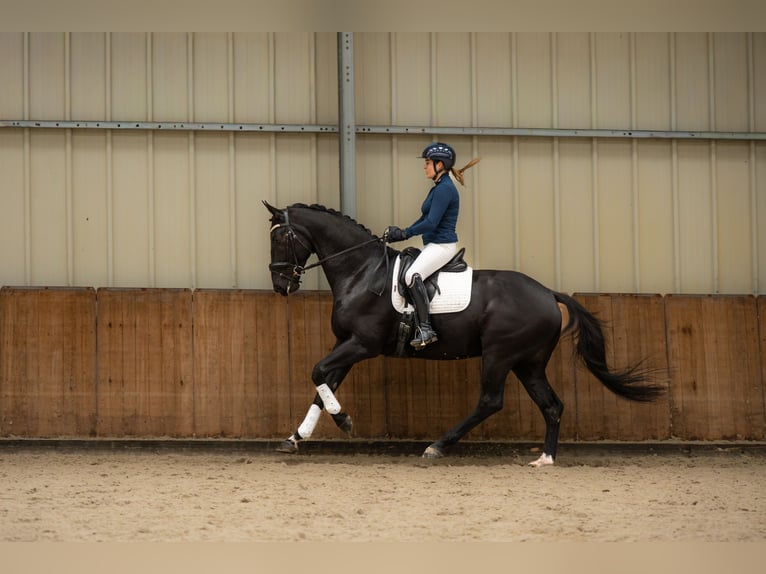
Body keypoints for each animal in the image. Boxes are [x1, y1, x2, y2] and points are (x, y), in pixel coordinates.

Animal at [264, 201, 664, 466]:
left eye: (282, 238)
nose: (281, 285)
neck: (362, 272)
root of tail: (549, 293)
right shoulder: (345, 343)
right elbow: (323, 383)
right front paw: (296, 437)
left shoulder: (362, 344)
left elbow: (318, 372)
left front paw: (342, 420)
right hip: (528, 362)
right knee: (551, 405)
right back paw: (545, 459)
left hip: (500, 354)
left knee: (490, 401)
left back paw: (437, 446)